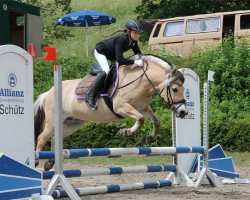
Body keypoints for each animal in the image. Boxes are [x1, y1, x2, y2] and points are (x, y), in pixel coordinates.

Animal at [33, 54, 188, 170]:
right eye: (175, 89)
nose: (183, 112)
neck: (140, 81)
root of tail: (48, 92)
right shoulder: (122, 107)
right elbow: (140, 119)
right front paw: (126, 132)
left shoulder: (143, 108)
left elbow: (156, 121)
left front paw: (149, 138)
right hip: (53, 120)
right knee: (42, 138)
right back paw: (36, 160)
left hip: (71, 124)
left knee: (54, 137)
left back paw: (49, 163)